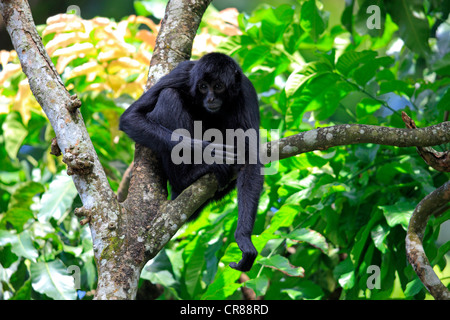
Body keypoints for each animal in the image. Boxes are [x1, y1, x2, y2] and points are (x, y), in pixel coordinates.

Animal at [119, 53, 264, 272]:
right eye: (203, 87)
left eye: (218, 86)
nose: (211, 98)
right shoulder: (183, 73)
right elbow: (131, 117)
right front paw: (210, 152)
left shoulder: (246, 92)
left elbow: (250, 158)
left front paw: (243, 239)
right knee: (169, 95)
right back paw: (192, 175)